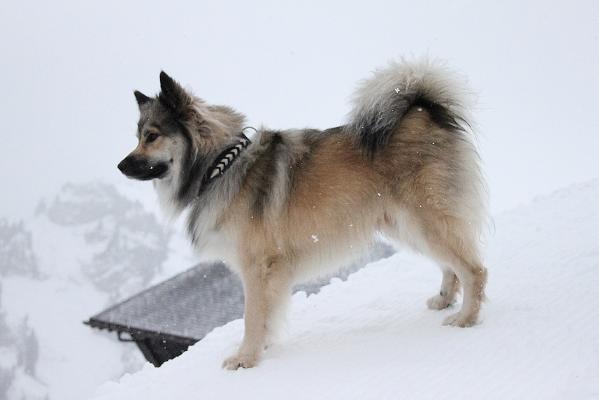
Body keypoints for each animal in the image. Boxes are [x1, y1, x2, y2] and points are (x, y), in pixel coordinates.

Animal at [117, 58, 488, 368]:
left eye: (151, 136)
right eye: (137, 136)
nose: (120, 166)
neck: (220, 166)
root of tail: (423, 110)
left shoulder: (256, 267)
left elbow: (252, 315)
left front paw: (246, 358)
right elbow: (266, 315)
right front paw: (261, 347)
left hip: (424, 220)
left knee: (473, 269)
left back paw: (466, 318)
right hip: (407, 225)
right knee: (451, 265)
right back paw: (445, 300)